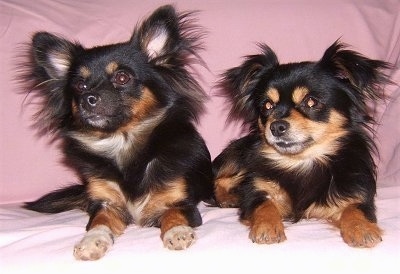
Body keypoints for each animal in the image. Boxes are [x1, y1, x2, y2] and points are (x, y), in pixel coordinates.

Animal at [21, 5, 216, 260]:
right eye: (80, 86)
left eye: (122, 77)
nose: (87, 98)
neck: (122, 142)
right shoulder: (106, 203)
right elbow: (99, 221)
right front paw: (91, 241)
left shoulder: (181, 203)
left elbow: (173, 215)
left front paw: (178, 232)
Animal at [214, 40, 392, 248]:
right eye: (267, 106)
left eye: (311, 102)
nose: (276, 126)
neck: (301, 161)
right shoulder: (256, 190)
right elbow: (264, 204)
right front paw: (267, 227)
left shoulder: (356, 192)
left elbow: (355, 208)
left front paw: (362, 229)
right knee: (219, 179)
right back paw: (228, 197)